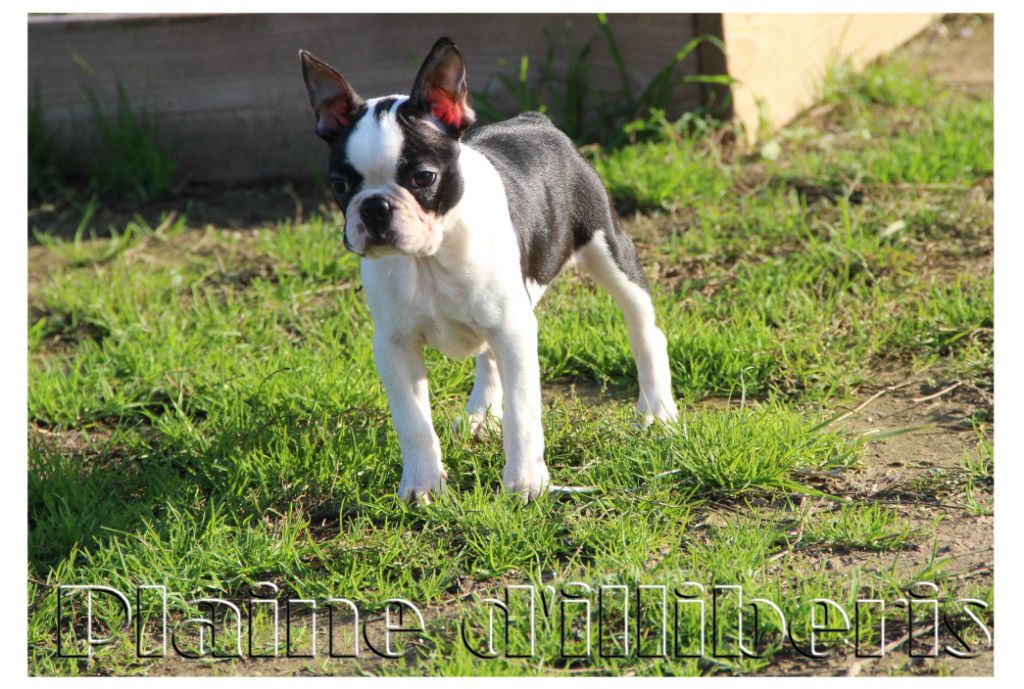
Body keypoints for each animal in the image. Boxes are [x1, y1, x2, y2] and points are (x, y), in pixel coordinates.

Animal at [299, 37, 678, 503]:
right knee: (489, 357)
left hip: (608, 248)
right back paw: (481, 412)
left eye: (423, 177)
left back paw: (657, 409)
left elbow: (523, 412)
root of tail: (535, 120)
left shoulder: (514, 330)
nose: (373, 207)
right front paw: (422, 485)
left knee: (644, 329)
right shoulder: (394, 346)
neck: (428, 259)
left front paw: (526, 482)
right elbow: (413, 421)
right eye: (339, 184)